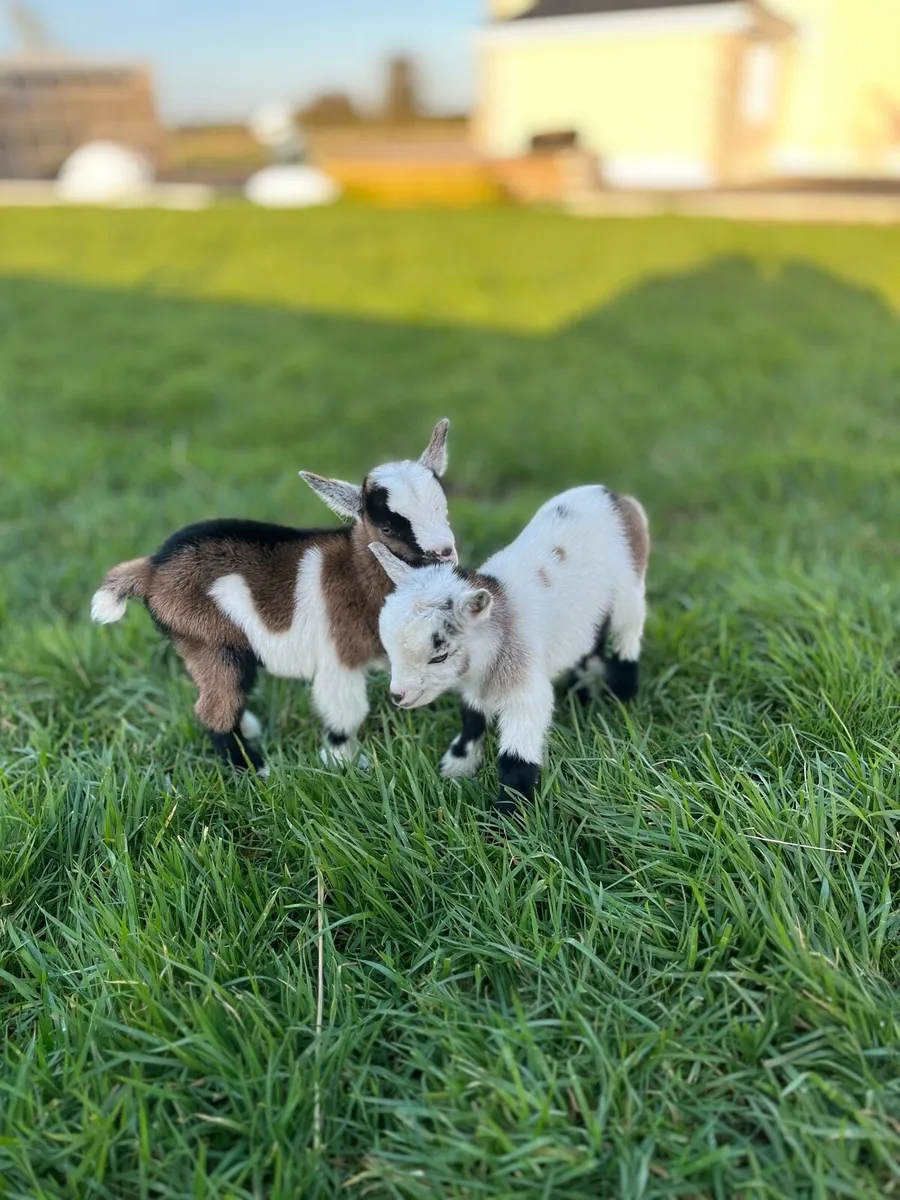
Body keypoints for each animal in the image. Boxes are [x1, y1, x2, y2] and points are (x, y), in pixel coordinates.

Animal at [91, 420, 456, 775]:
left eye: (443, 509)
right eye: (388, 529)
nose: (444, 553)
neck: (356, 567)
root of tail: (151, 568)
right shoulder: (340, 655)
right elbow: (344, 713)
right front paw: (346, 764)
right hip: (211, 640)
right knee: (213, 709)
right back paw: (252, 768)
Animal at [369, 484, 649, 812]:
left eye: (440, 656)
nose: (398, 696)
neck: (501, 624)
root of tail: (613, 495)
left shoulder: (525, 688)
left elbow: (516, 757)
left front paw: (509, 813)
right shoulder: (476, 682)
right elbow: (472, 717)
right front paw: (457, 766)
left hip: (630, 591)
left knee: (627, 636)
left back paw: (620, 696)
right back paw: (585, 689)